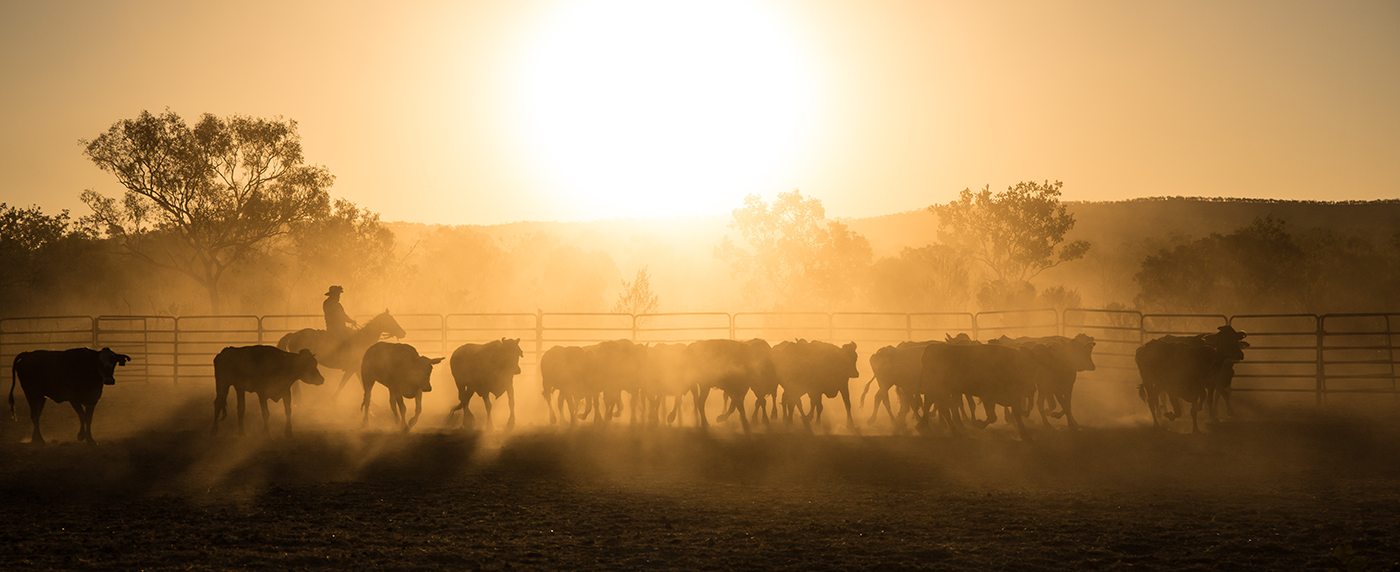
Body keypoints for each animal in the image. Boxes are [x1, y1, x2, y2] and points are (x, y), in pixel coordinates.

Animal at [273, 310, 406, 399]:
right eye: (391, 320)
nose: (403, 333)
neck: (362, 339)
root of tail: (293, 335)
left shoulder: (355, 368)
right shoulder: (354, 367)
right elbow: (345, 384)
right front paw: (333, 400)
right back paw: (298, 399)